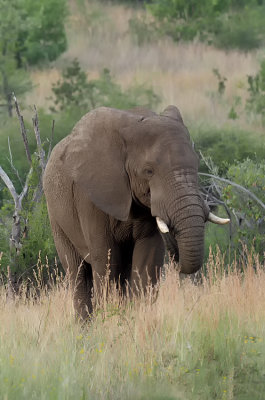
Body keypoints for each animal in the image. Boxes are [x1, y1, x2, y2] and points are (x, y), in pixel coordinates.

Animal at [42, 106, 227, 318]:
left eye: (197, 165)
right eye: (149, 171)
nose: (175, 252)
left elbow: (147, 259)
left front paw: (135, 316)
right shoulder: (89, 197)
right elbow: (106, 257)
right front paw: (109, 317)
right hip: (56, 218)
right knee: (77, 271)